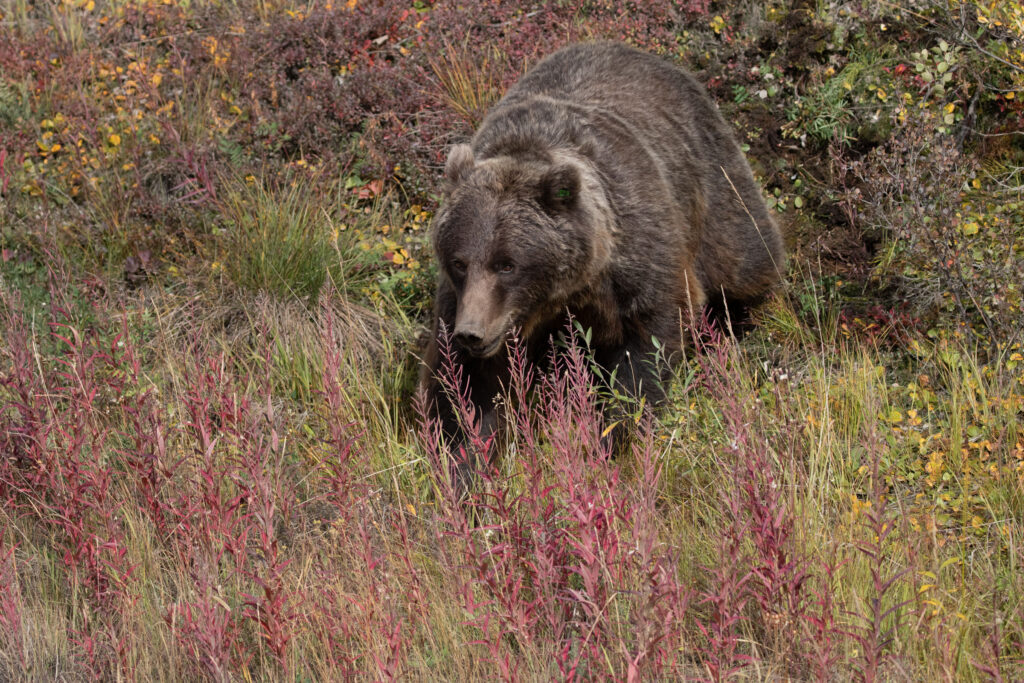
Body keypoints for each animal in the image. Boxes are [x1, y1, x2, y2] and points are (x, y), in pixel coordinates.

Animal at [419, 41, 786, 458]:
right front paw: (464, 454)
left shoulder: (637, 256)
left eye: (507, 264)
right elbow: (466, 384)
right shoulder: (461, 303)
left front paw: (614, 433)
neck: (565, 290)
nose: (473, 333)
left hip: (712, 185)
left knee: (747, 256)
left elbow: (646, 346)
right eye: (459, 262)